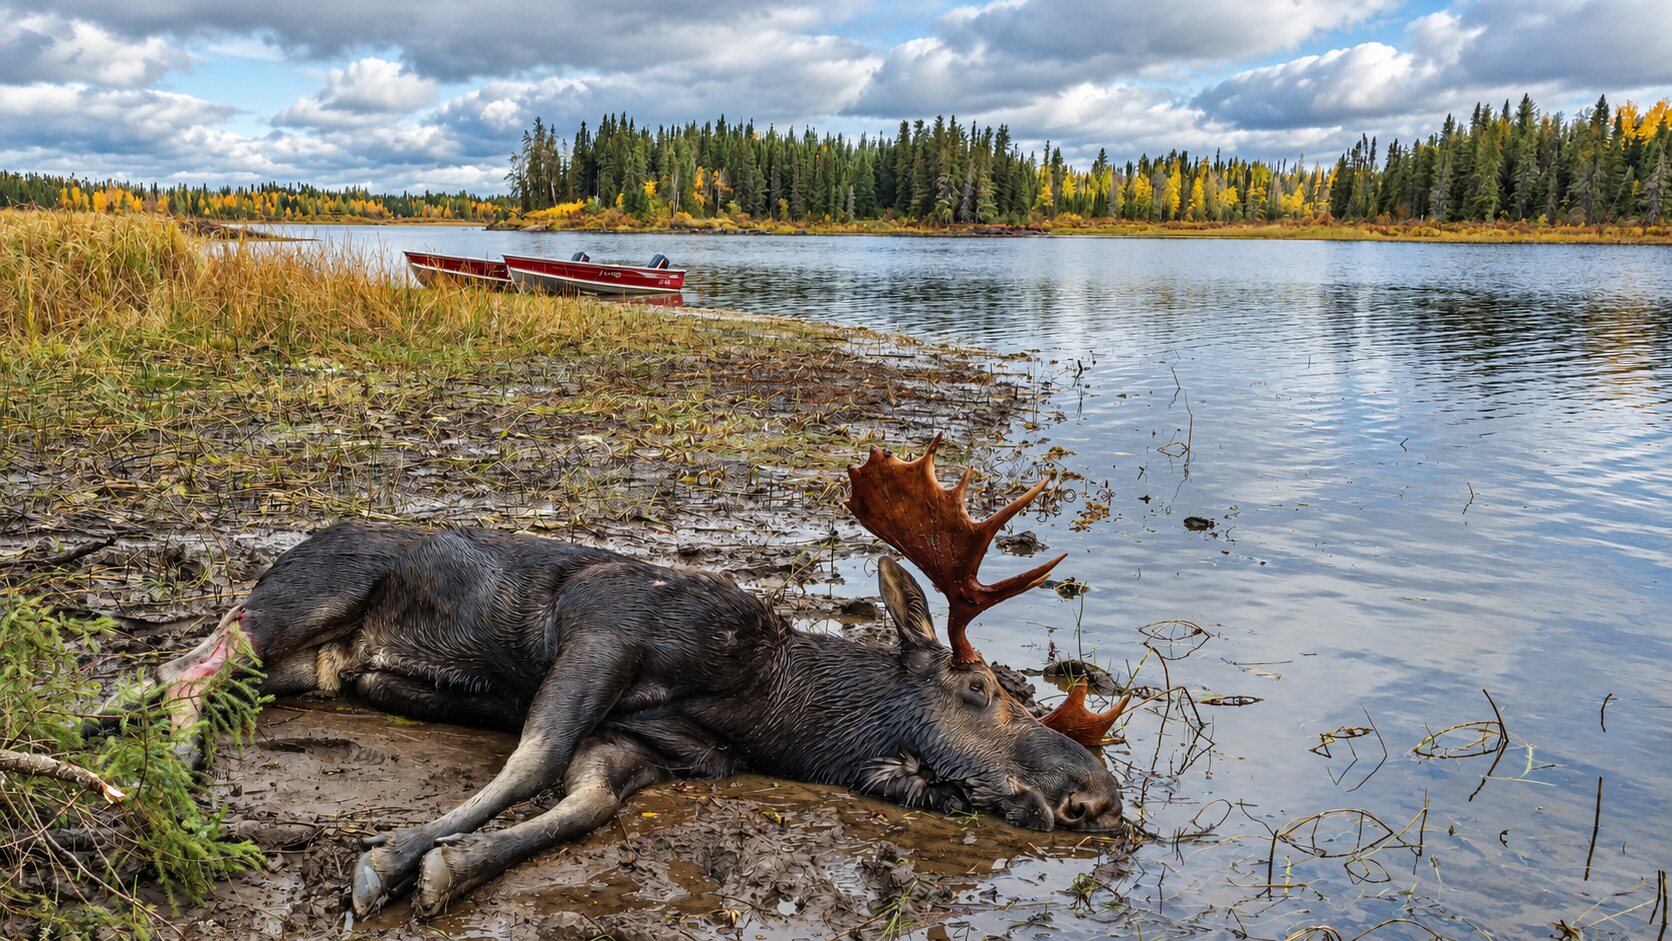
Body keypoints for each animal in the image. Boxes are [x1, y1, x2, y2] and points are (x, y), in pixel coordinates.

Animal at [138, 435, 1128, 918]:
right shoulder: (608, 624)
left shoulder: (654, 747)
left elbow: (584, 804)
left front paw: (450, 866)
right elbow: (531, 761)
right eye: (986, 689)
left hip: (308, 666)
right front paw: (390, 857)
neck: (769, 702)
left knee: (187, 677)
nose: (1100, 793)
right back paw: (168, 784)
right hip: (307, 591)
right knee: (184, 663)